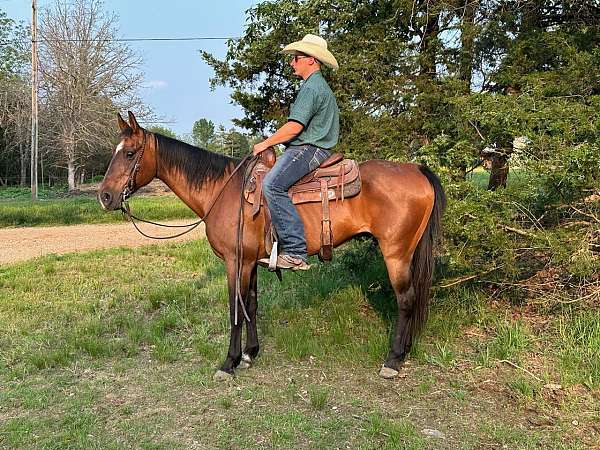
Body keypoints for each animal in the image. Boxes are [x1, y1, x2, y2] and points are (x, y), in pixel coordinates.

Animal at [98, 111, 446, 380]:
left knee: (406, 300)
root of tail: (417, 170)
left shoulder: (235, 261)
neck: (222, 191)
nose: (105, 196)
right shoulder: (250, 261)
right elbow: (251, 305)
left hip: (396, 253)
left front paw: (229, 362)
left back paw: (393, 360)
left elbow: (234, 309)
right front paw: (250, 353)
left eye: (129, 153)